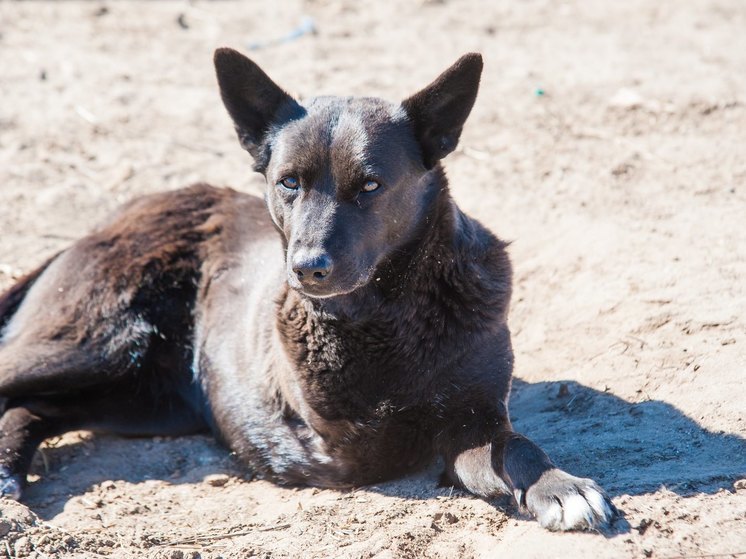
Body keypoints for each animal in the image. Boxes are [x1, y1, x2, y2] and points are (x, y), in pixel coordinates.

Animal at [1, 47, 616, 528]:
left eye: (371, 185)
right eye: (288, 183)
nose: (306, 268)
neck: (390, 314)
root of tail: (109, 219)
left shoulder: (474, 419)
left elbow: (516, 445)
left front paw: (559, 485)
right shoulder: (357, 441)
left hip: (141, 397)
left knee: (31, 410)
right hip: (98, 344)